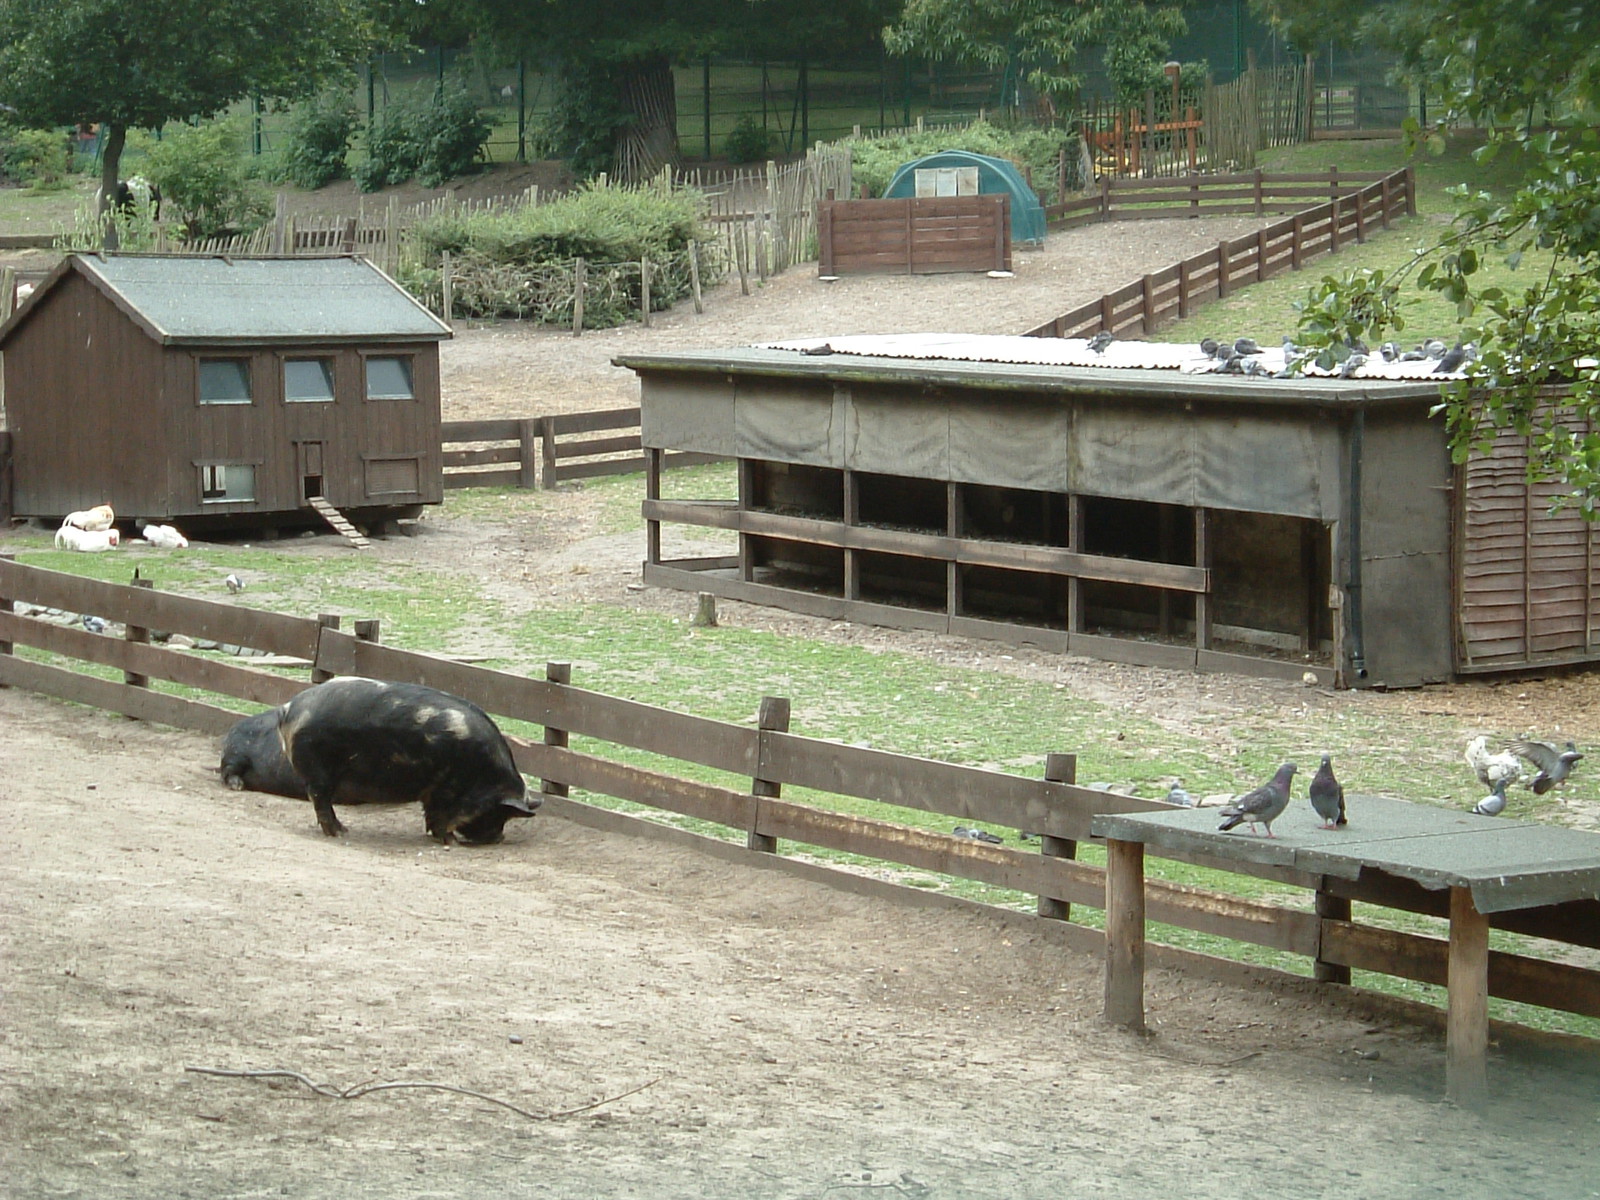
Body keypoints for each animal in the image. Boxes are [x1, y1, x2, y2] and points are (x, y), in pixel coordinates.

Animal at [280, 678, 537, 844]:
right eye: (498, 812)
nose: (499, 838)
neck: (485, 775)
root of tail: (290, 708)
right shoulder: (445, 788)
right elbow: (441, 815)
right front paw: (450, 841)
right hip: (318, 771)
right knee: (320, 800)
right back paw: (342, 832)